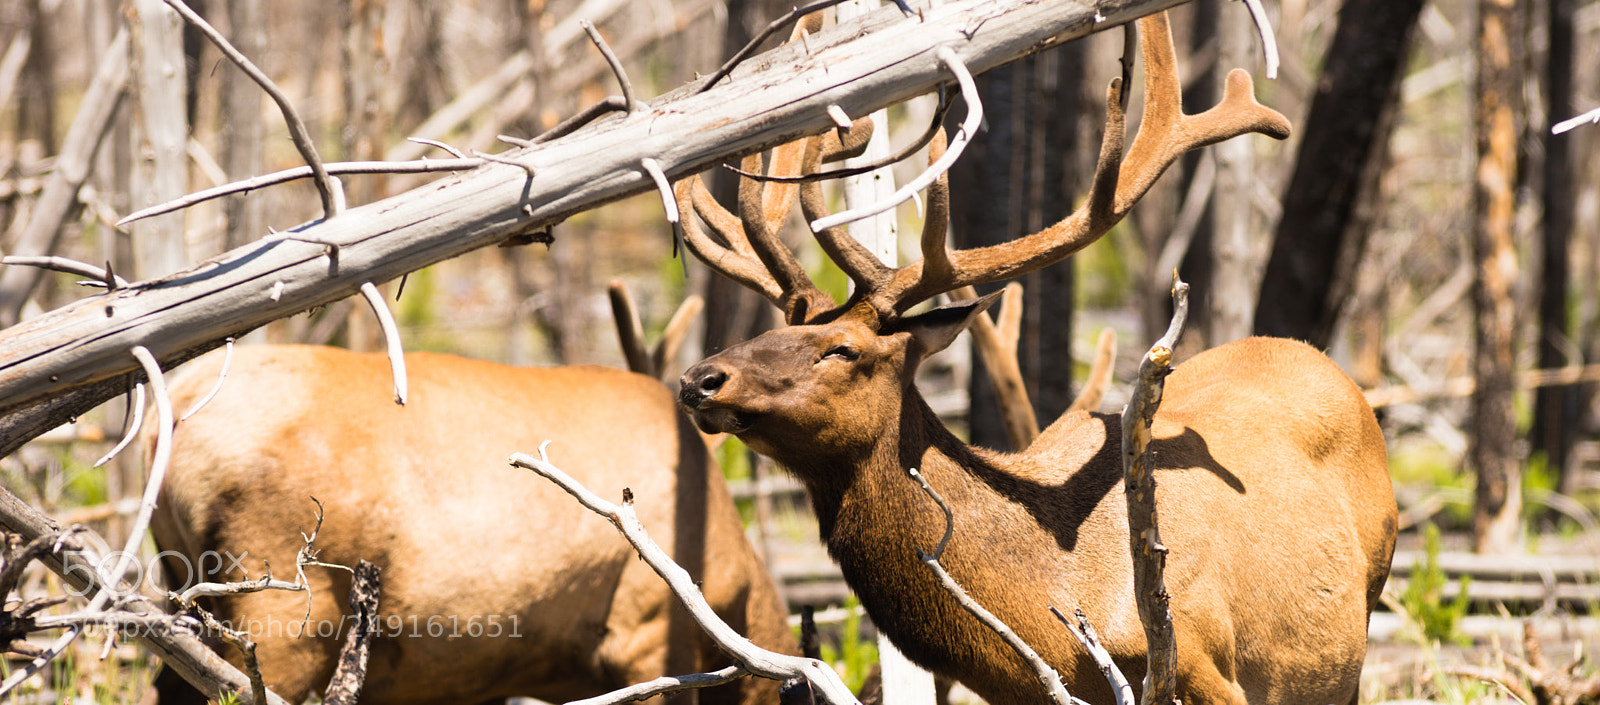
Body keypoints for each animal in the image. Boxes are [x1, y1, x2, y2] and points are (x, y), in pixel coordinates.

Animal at [673, 12, 1397, 705]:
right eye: (774, 329)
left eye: (844, 349)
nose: (699, 378)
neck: (1048, 610)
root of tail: (1321, 360)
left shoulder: (1204, 664)